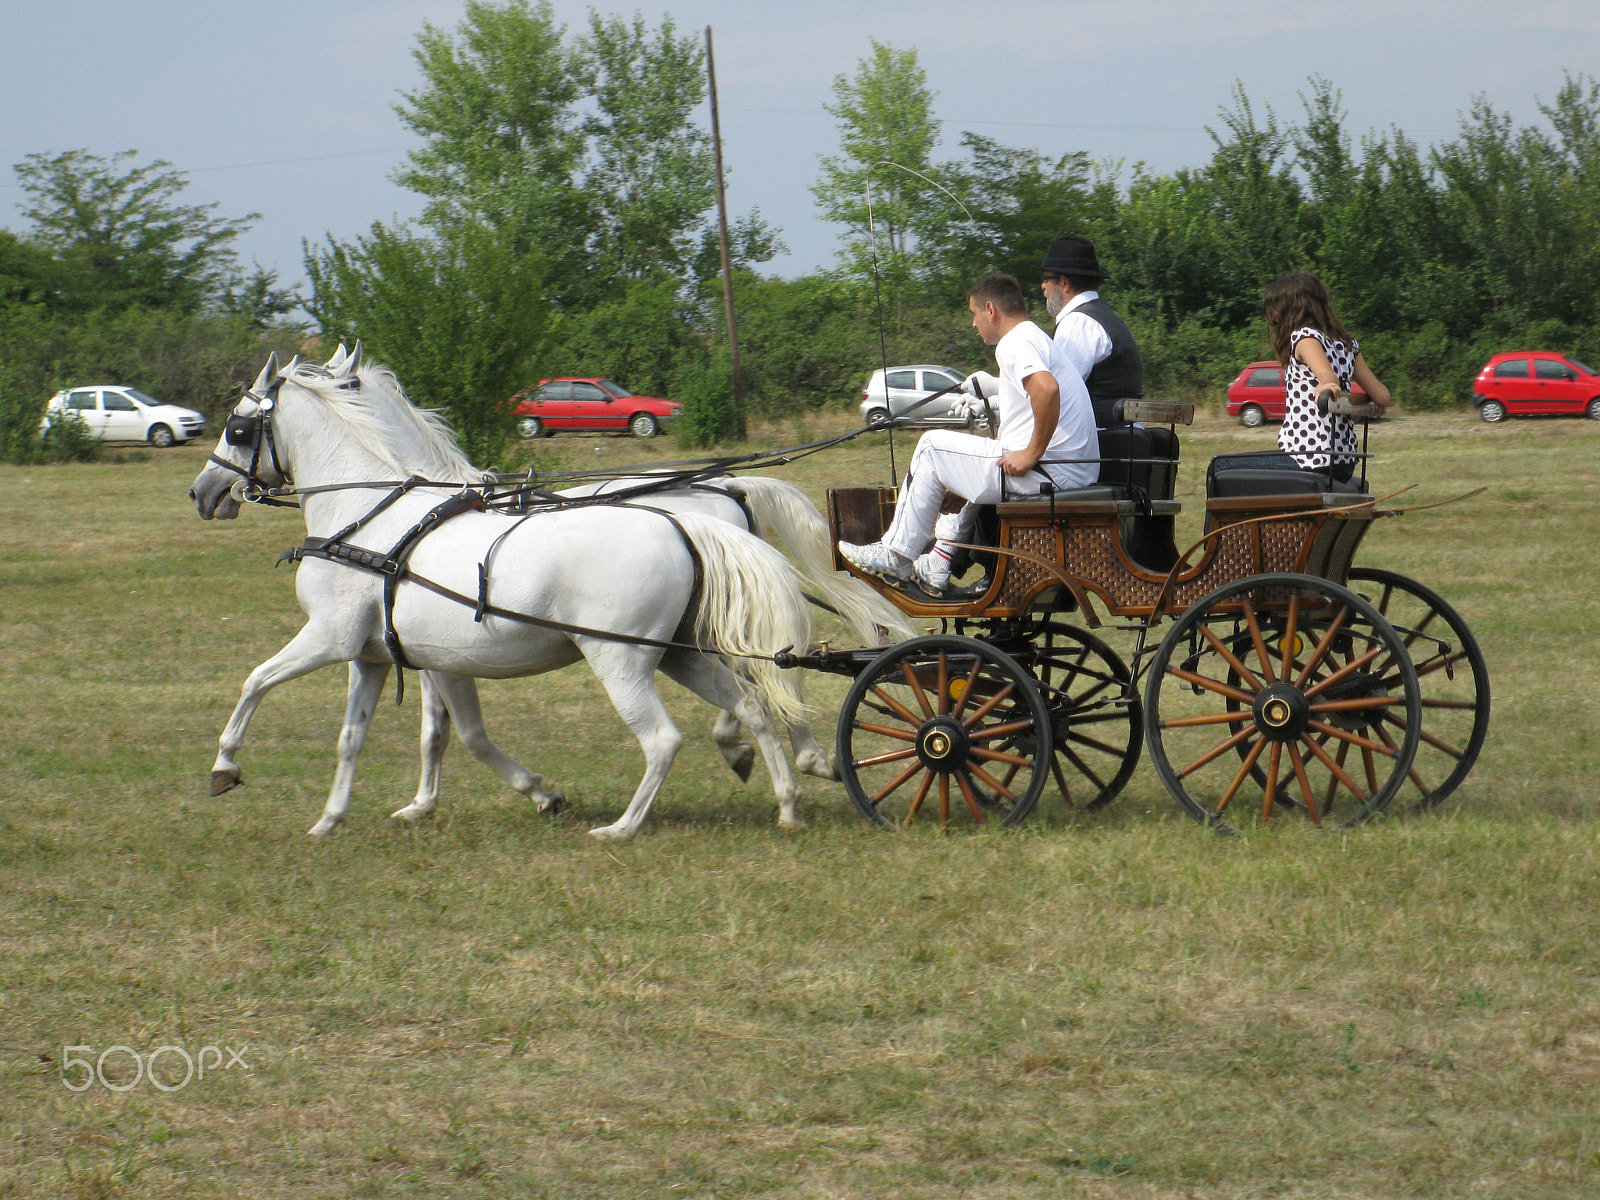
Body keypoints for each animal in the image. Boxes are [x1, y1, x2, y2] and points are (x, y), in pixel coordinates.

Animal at [188, 352, 812, 838]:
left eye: (237, 426)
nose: (203, 492)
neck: (364, 517)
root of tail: (686, 523)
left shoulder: (329, 639)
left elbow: (256, 681)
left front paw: (225, 766)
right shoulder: (390, 658)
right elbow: (375, 737)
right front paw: (337, 817)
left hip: (622, 660)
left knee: (665, 737)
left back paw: (624, 827)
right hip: (680, 655)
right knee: (753, 704)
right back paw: (785, 802)